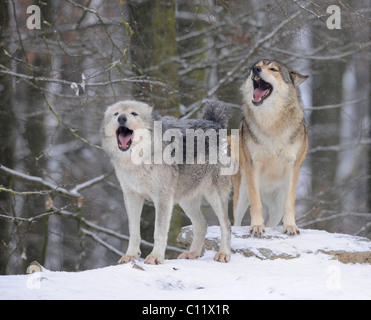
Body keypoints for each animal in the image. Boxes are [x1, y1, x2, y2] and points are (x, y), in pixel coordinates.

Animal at [100, 100, 231, 264]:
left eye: (133, 113)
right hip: (185, 200)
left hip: (214, 195)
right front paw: (130, 256)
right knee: (202, 224)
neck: (138, 160)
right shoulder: (131, 196)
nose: (122, 118)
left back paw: (224, 254)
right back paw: (192, 254)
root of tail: (213, 122)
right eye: (116, 114)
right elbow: (134, 230)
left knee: (226, 224)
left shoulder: (162, 197)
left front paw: (155, 257)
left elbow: (159, 231)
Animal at [234, 58, 310, 236]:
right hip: (241, 196)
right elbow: (256, 203)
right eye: (257, 65)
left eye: (273, 69)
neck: (271, 123)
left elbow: (290, 204)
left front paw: (290, 227)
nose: (255, 69)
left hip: (276, 209)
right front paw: (256, 226)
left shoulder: (292, 166)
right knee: (234, 221)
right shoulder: (253, 165)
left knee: (272, 220)